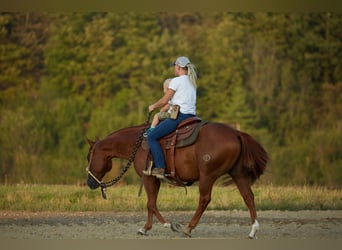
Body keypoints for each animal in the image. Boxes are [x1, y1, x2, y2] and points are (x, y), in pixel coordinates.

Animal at [85, 118, 268, 239]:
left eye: (88, 157)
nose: (90, 183)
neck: (138, 145)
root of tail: (237, 133)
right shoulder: (154, 179)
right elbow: (151, 203)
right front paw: (146, 228)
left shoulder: (150, 179)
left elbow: (150, 204)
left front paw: (169, 225)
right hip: (238, 174)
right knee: (248, 197)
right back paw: (253, 230)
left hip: (208, 176)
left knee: (204, 199)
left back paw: (188, 228)